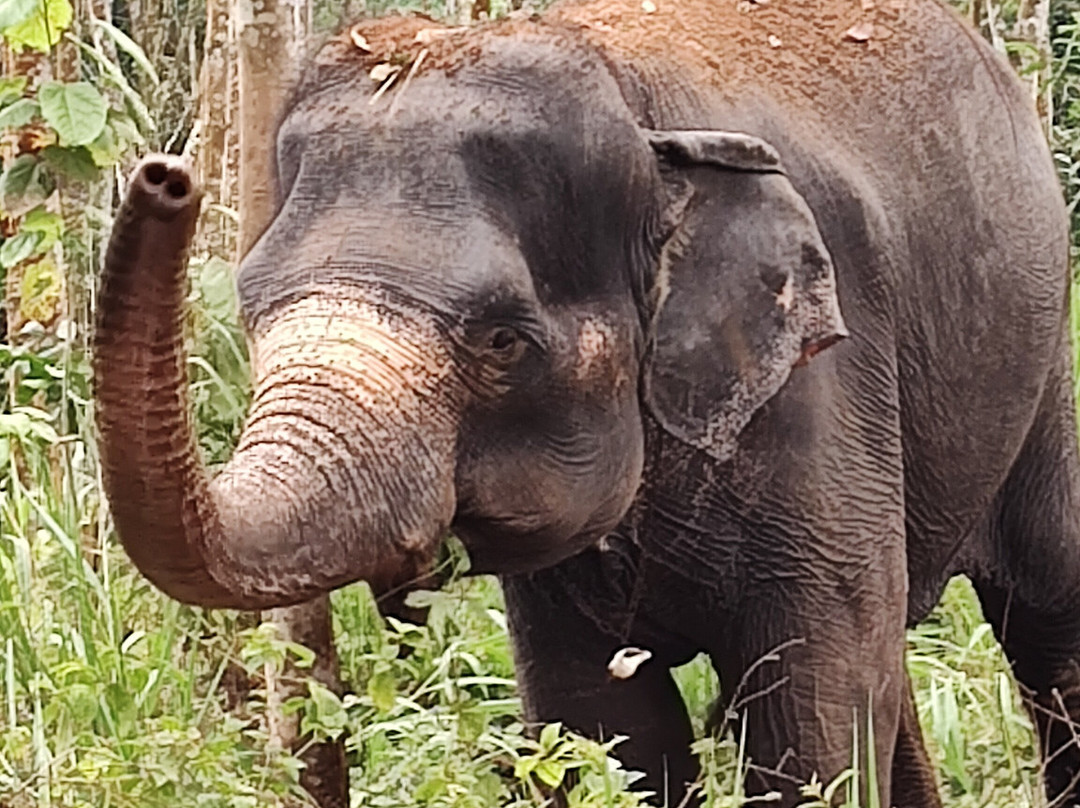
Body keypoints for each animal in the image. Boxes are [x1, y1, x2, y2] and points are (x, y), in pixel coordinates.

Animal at [92, 0, 1078, 805]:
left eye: (500, 341)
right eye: (252, 306)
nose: (165, 175)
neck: (644, 120)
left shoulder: (822, 386)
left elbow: (812, 722)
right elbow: (605, 728)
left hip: (1046, 361)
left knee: (1047, 617)